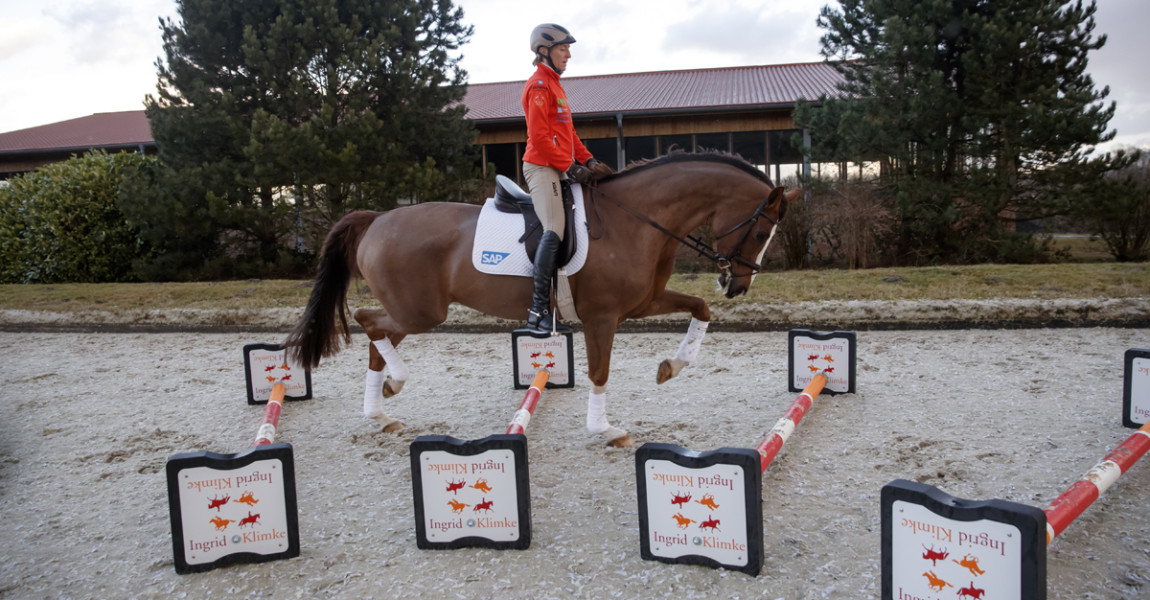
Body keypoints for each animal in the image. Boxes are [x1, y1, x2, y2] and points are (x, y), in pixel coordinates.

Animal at [282, 151, 795, 443]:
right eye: (762, 231)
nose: (739, 286)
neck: (637, 219)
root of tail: (378, 219)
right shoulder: (602, 316)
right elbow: (600, 371)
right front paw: (603, 428)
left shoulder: (643, 303)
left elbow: (700, 309)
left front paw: (672, 366)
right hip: (419, 311)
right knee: (368, 321)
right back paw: (394, 386)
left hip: (415, 311)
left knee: (374, 336)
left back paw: (381, 411)